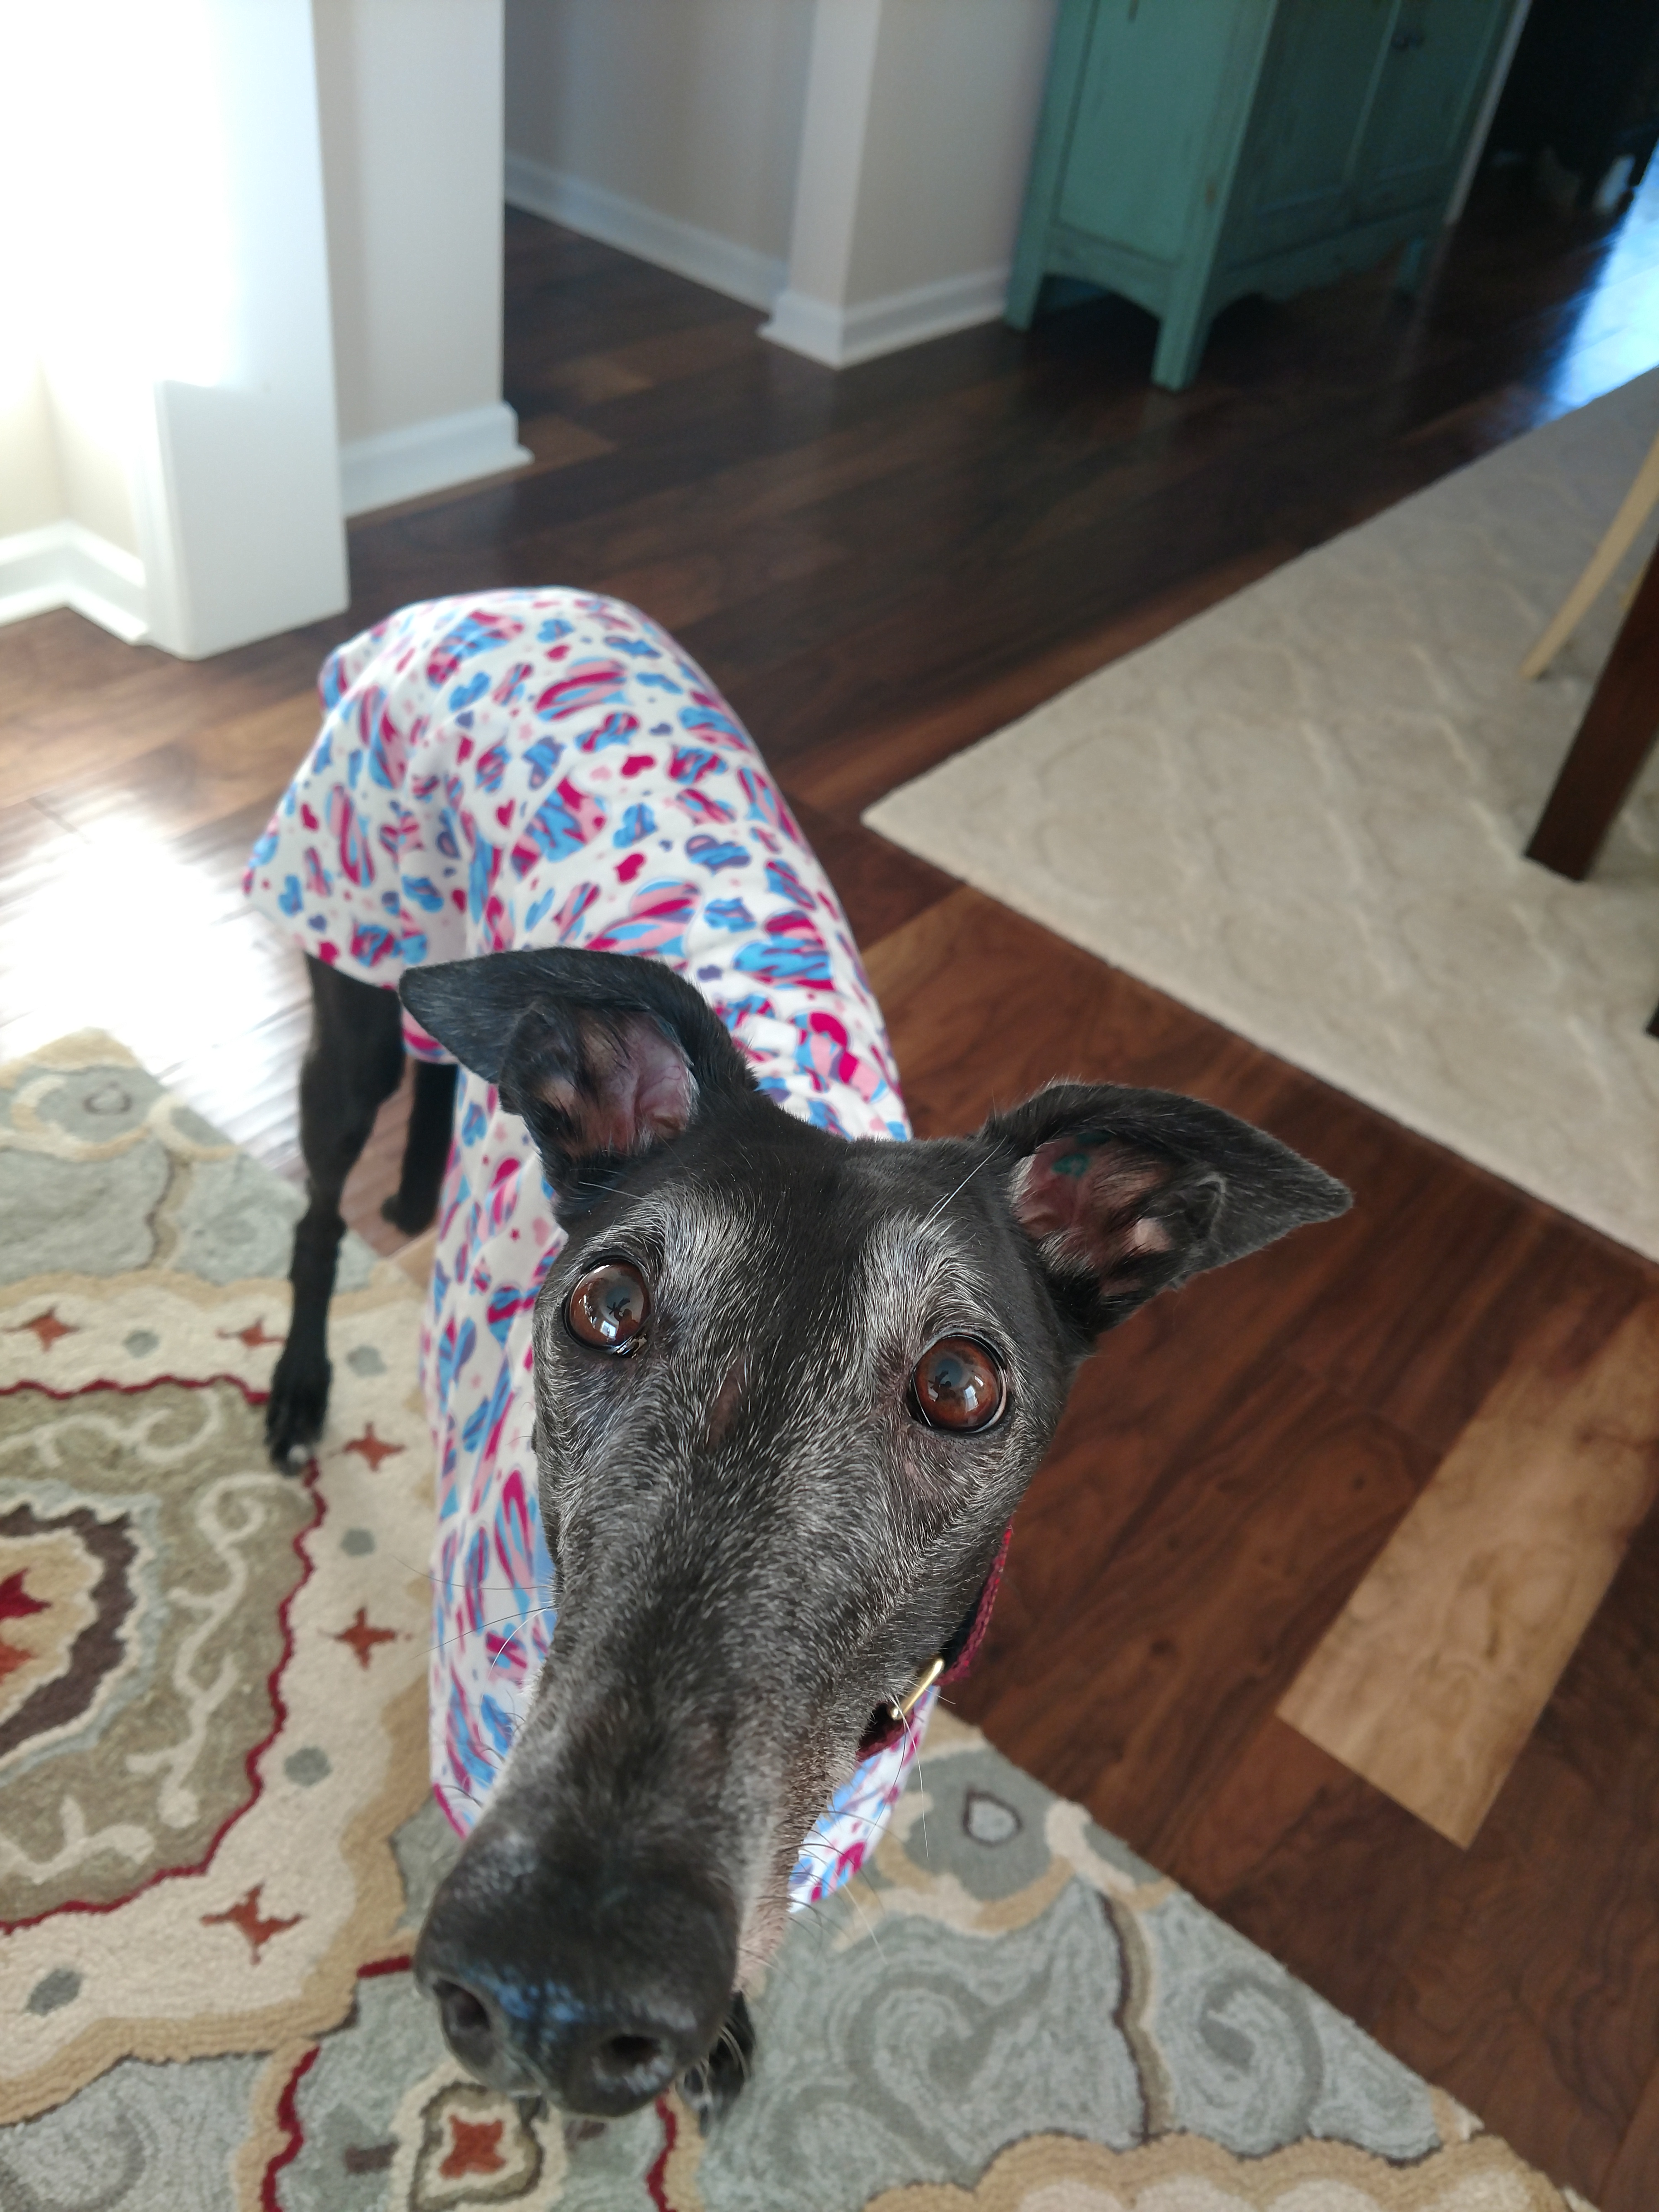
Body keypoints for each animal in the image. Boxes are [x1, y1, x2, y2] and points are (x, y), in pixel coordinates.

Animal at [246, 588, 1349, 2124]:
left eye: (961, 1385)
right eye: (601, 1304)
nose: (552, 1990)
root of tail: (468, 601)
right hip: (352, 958)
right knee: (312, 1206)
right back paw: (300, 1385)